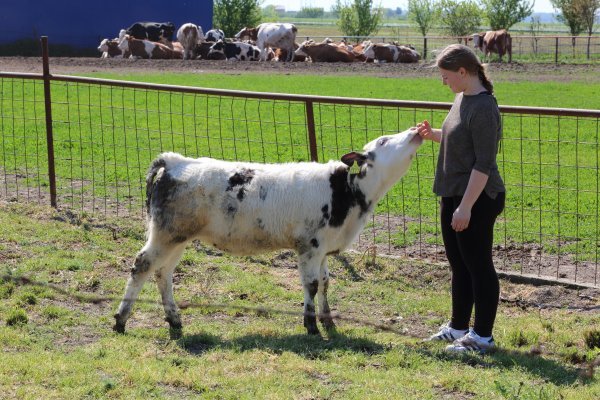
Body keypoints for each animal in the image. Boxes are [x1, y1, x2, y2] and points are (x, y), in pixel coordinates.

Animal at [112, 128, 422, 334]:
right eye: (384, 140)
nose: (417, 130)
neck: (348, 193)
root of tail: (174, 161)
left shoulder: (323, 248)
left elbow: (325, 282)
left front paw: (327, 319)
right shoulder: (309, 246)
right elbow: (310, 284)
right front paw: (310, 325)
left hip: (178, 238)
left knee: (163, 272)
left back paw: (174, 318)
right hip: (165, 234)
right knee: (143, 265)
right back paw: (121, 319)